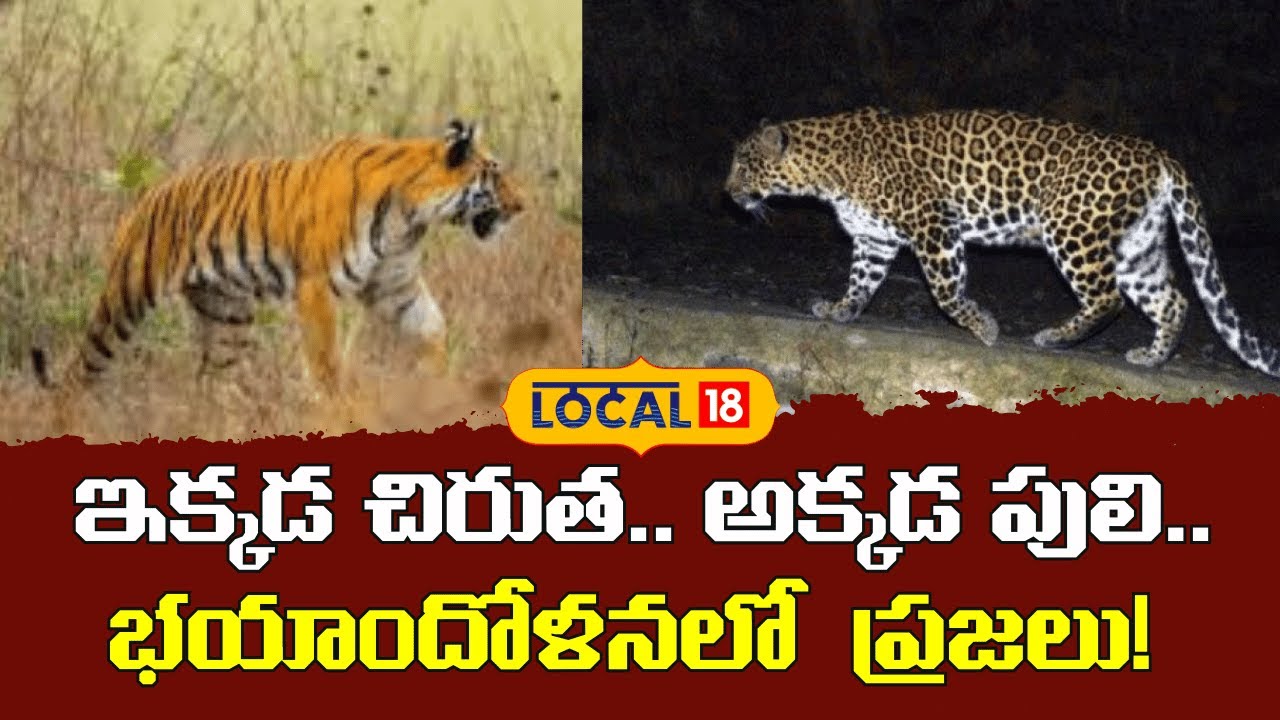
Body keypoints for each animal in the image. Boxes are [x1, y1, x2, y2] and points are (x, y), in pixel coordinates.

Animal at [32, 120, 525, 392]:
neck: (411, 216)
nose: (523, 206)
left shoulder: (395, 287)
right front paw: (341, 408)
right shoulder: (318, 286)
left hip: (227, 316)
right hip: (126, 298)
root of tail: (149, 195)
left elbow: (431, 330)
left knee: (211, 383)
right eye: (495, 174)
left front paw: (444, 387)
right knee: (83, 368)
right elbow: (326, 362)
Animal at [725, 107, 1279, 378]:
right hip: (1136, 246)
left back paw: (1055, 338)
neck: (824, 169)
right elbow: (861, 282)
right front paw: (840, 311)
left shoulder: (933, 222)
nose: (727, 192)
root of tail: (1157, 153)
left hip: (1071, 228)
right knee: (1173, 300)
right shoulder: (874, 239)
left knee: (1109, 298)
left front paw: (984, 327)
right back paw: (1152, 358)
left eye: (744, 165)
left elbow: (946, 290)